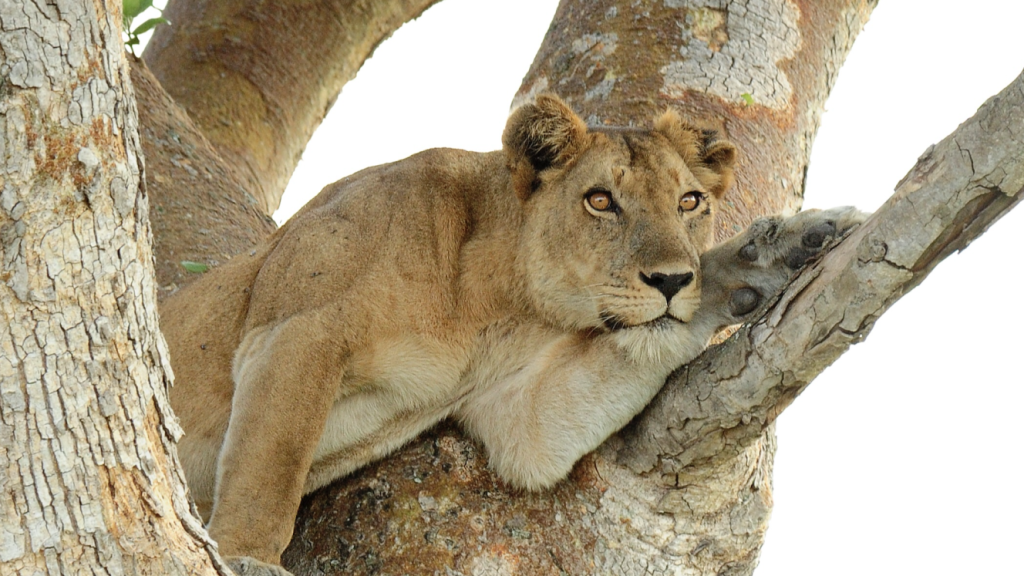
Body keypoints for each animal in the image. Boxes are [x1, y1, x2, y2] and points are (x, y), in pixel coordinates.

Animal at [159, 94, 864, 575]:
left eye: (690, 203)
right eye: (601, 201)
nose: (669, 280)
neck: (498, 303)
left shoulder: (513, 412)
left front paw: (786, 250)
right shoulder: (295, 330)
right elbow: (269, 466)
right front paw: (247, 556)